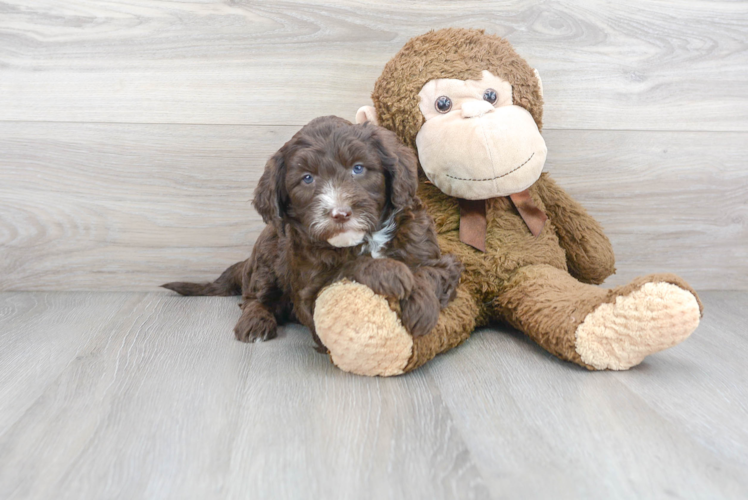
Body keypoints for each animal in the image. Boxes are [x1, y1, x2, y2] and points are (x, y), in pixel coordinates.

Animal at [164, 115, 462, 346]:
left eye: (358, 168)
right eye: (307, 178)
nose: (340, 214)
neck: (365, 239)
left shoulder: (433, 253)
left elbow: (430, 272)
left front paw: (421, 306)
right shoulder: (309, 288)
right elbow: (346, 268)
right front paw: (389, 272)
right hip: (266, 257)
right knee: (254, 298)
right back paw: (255, 322)